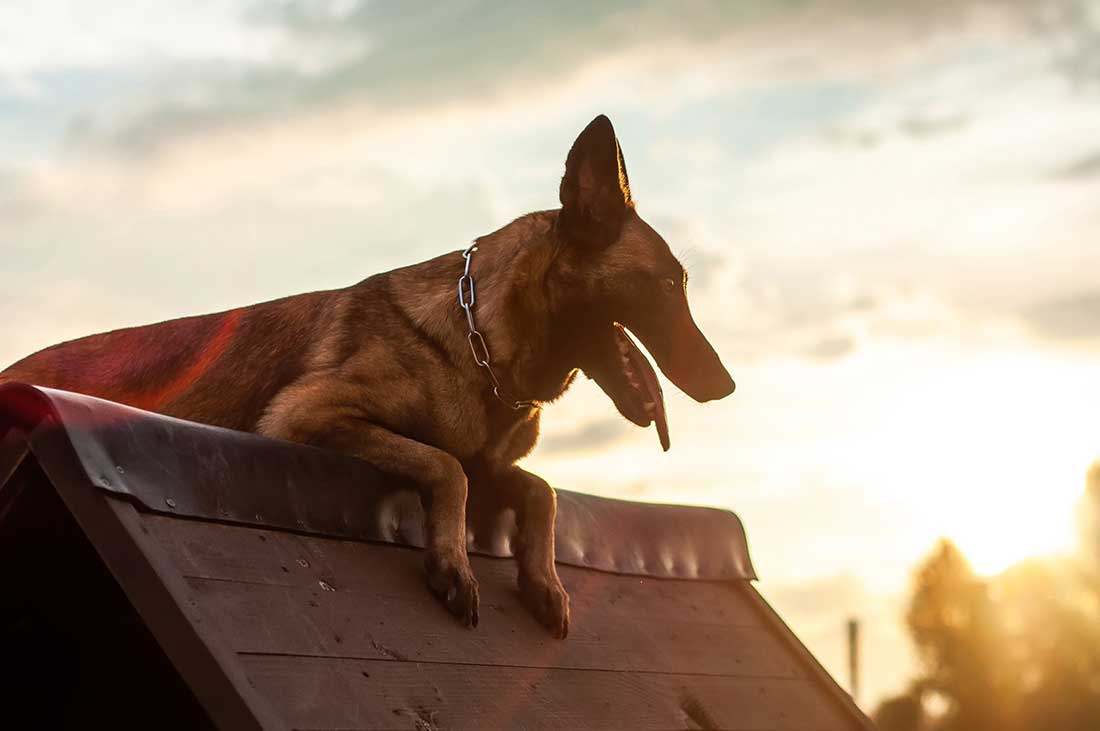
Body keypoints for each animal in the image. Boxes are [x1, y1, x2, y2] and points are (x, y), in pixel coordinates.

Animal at [4, 117, 739, 637]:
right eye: (669, 285)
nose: (726, 386)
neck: (480, 343)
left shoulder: (496, 462)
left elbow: (541, 489)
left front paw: (544, 581)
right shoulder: (306, 415)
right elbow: (446, 466)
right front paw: (453, 562)